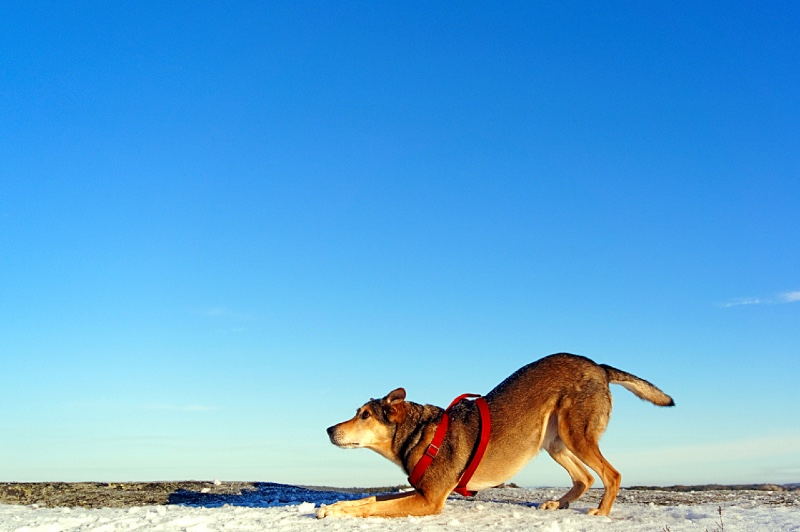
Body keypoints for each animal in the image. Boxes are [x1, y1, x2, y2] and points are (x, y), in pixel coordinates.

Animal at [318, 352, 676, 516]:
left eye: (364, 415)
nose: (329, 430)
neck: (420, 434)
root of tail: (599, 366)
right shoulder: (420, 492)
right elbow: (370, 498)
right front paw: (334, 507)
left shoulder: (429, 499)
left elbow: (371, 506)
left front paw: (336, 511)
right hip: (553, 441)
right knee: (584, 477)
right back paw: (557, 504)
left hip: (576, 434)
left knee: (611, 475)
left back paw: (600, 512)